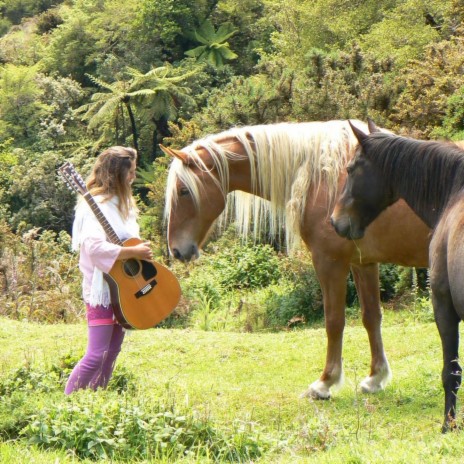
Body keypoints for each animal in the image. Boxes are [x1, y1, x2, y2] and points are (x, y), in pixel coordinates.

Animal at [161, 121, 430, 400]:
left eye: (183, 191)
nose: (176, 250)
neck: (320, 177)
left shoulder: (329, 262)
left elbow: (334, 321)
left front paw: (324, 383)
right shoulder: (362, 263)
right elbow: (371, 317)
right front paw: (375, 378)